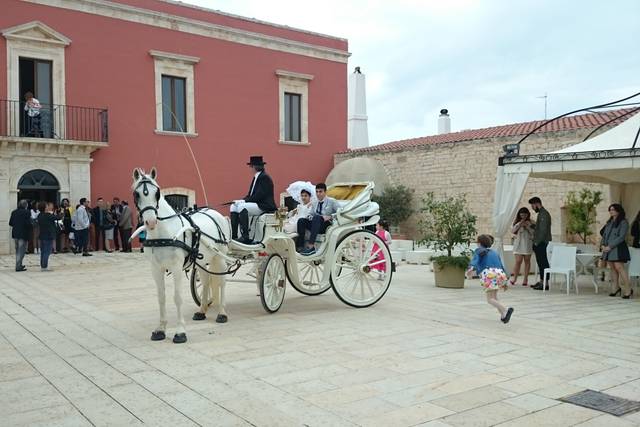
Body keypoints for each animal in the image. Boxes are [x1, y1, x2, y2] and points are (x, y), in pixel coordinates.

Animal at [131, 168, 231, 344]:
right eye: (137, 194)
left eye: (157, 193)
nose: (151, 222)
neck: (163, 233)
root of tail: (214, 212)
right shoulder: (155, 268)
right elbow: (161, 297)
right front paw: (160, 329)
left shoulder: (177, 267)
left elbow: (177, 297)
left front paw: (180, 332)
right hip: (202, 260)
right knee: (206, 280)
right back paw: (202, 310)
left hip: (219, 257)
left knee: (221, 282)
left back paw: (222, 313)